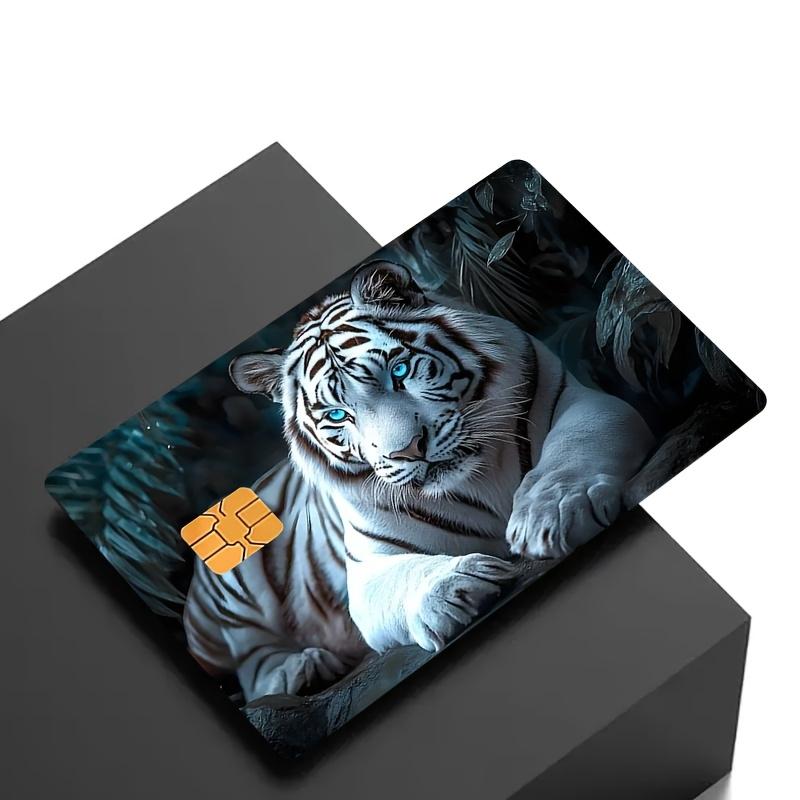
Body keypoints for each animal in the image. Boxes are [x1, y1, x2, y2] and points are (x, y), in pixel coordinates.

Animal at [184, 261, 654, 698]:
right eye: (337, 414)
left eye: (400, 371)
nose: (408, 449)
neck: (478, 478)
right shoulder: (367, 568)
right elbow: (405, 577)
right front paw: (453, 589)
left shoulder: (580, 400)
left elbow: (571, 453)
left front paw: (551, 517)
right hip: (236, 587)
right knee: (252, 665)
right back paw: (302, 668)